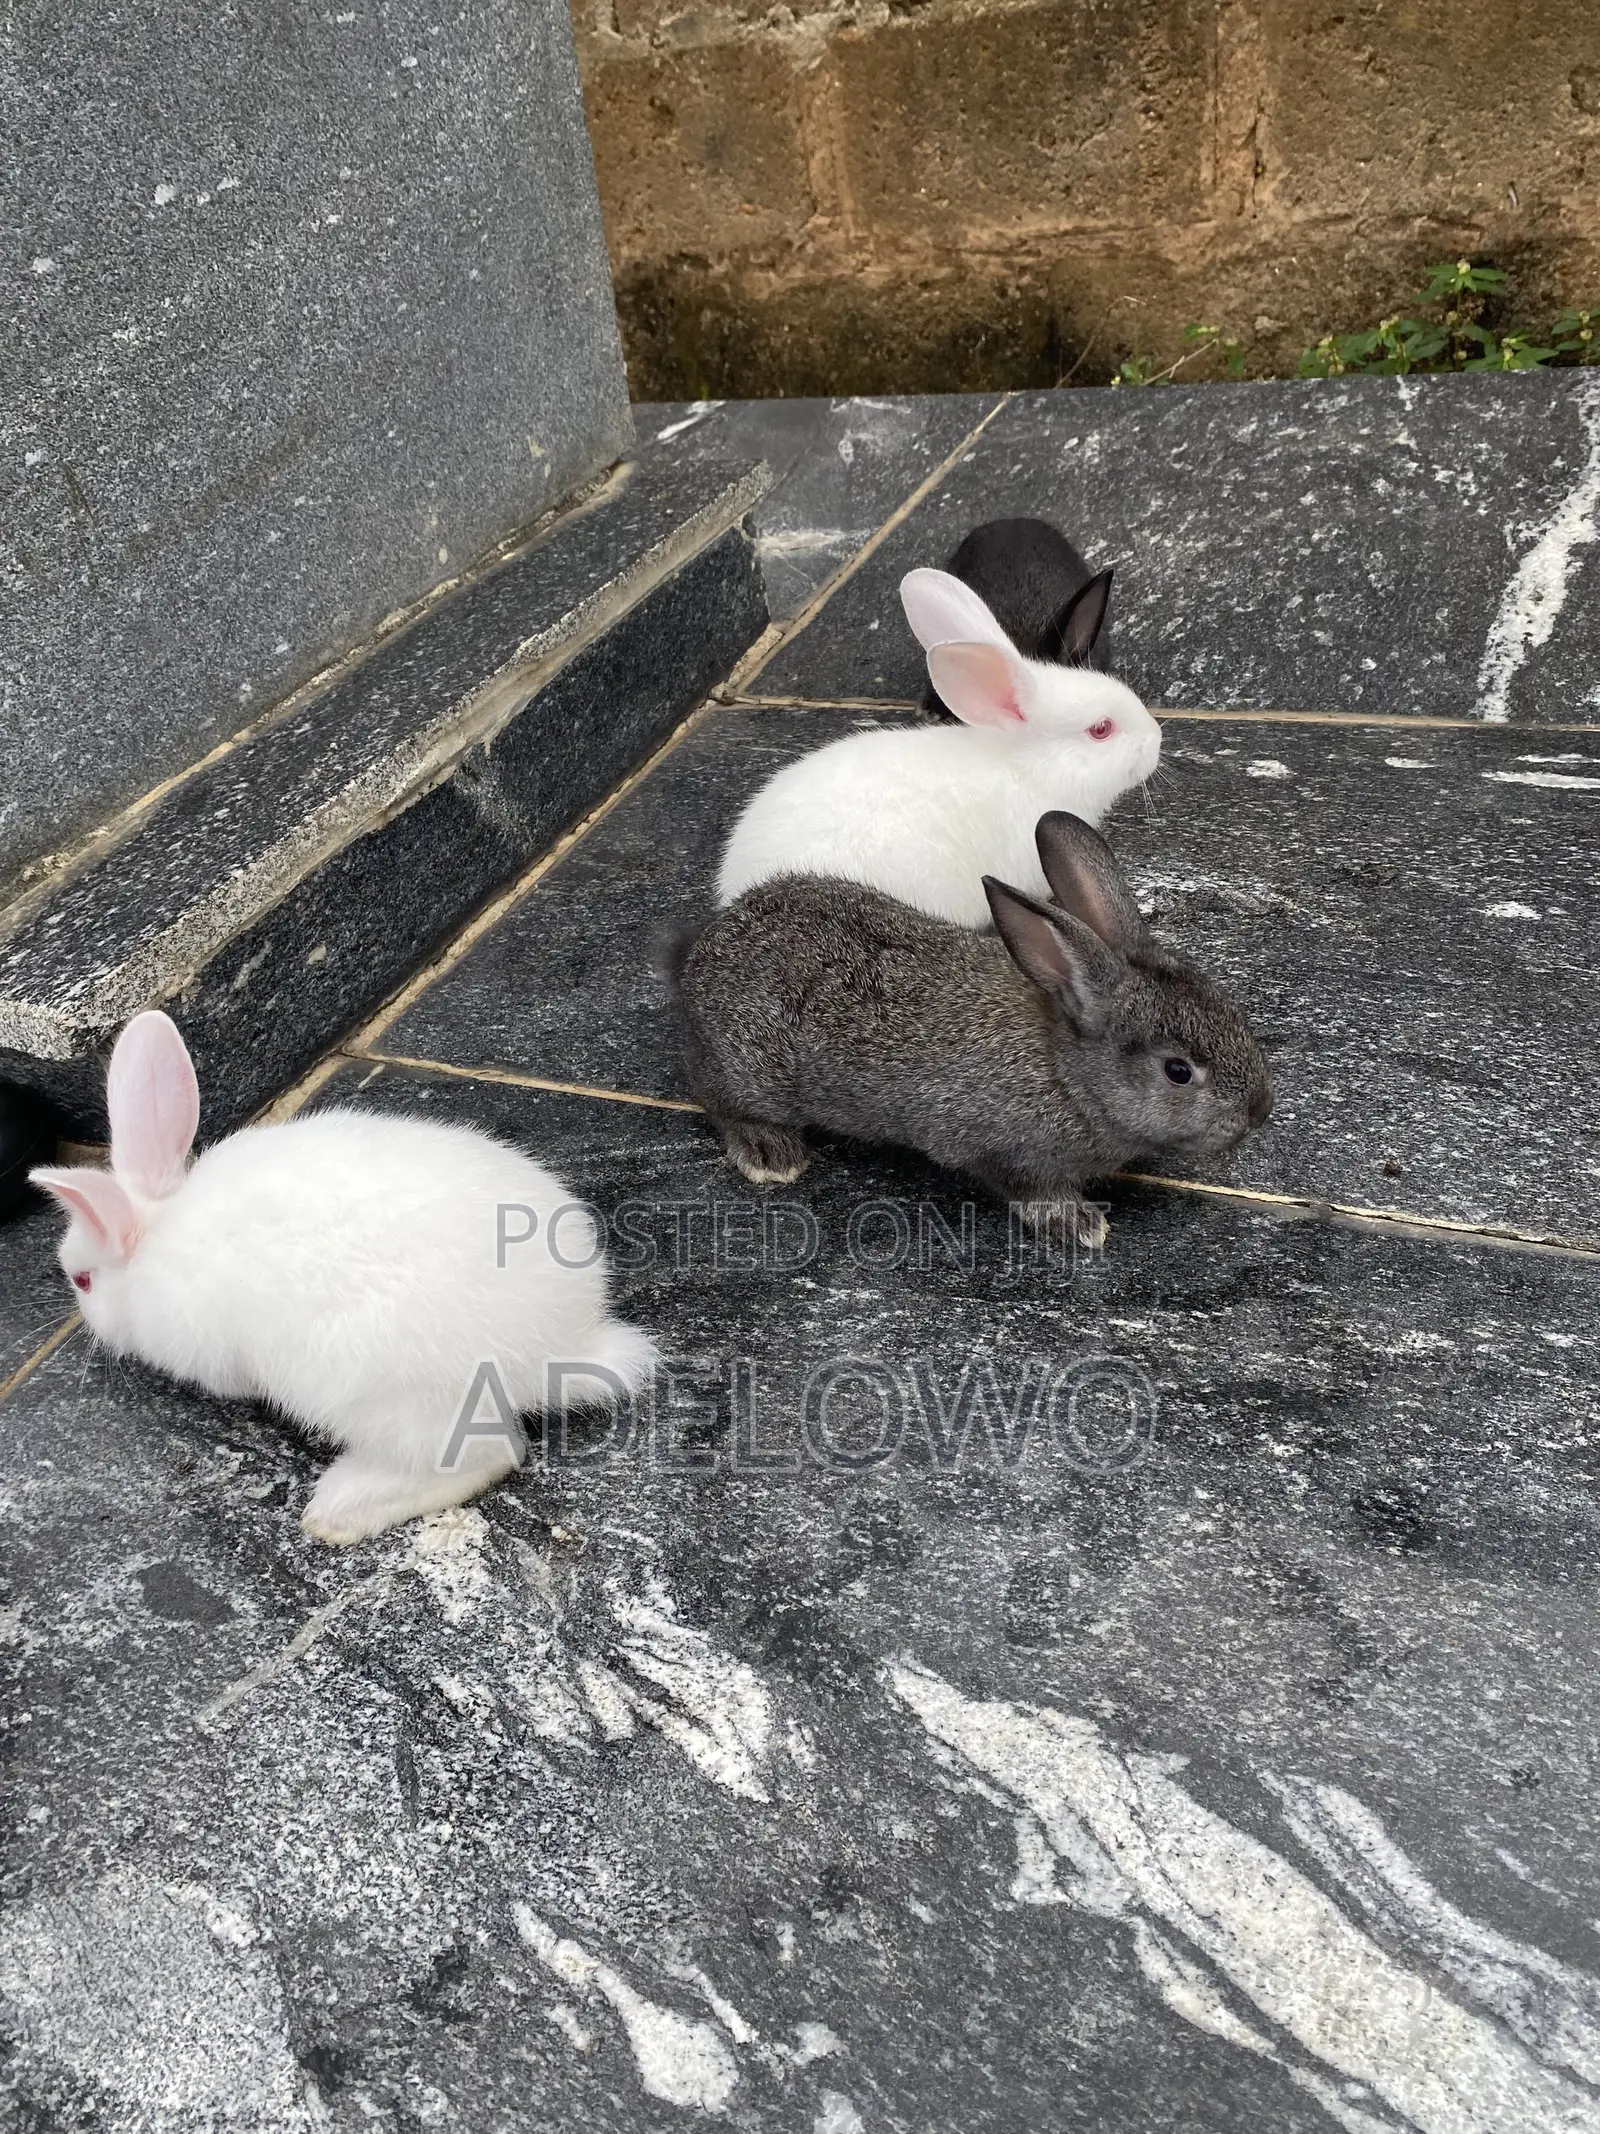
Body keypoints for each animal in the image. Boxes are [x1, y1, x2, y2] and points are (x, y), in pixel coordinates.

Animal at [30, 1012, 658, 1545]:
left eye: (82, 1281)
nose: (84, 1315)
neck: (157, 1237)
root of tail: (561, 1346)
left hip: (378, 1395)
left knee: (486, 1457)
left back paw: (338, 1510)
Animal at [679, 812, 1271, 1250]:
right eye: (1178, 1071)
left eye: (1232, 1012)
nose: (1259, 1112)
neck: (1068, 1072)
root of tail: (701, 954)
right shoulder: (1003, 1153)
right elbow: (1032, 1192)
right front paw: (1082, 1226)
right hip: (747, 1071)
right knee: (718, 1100)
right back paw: (770, 1155)